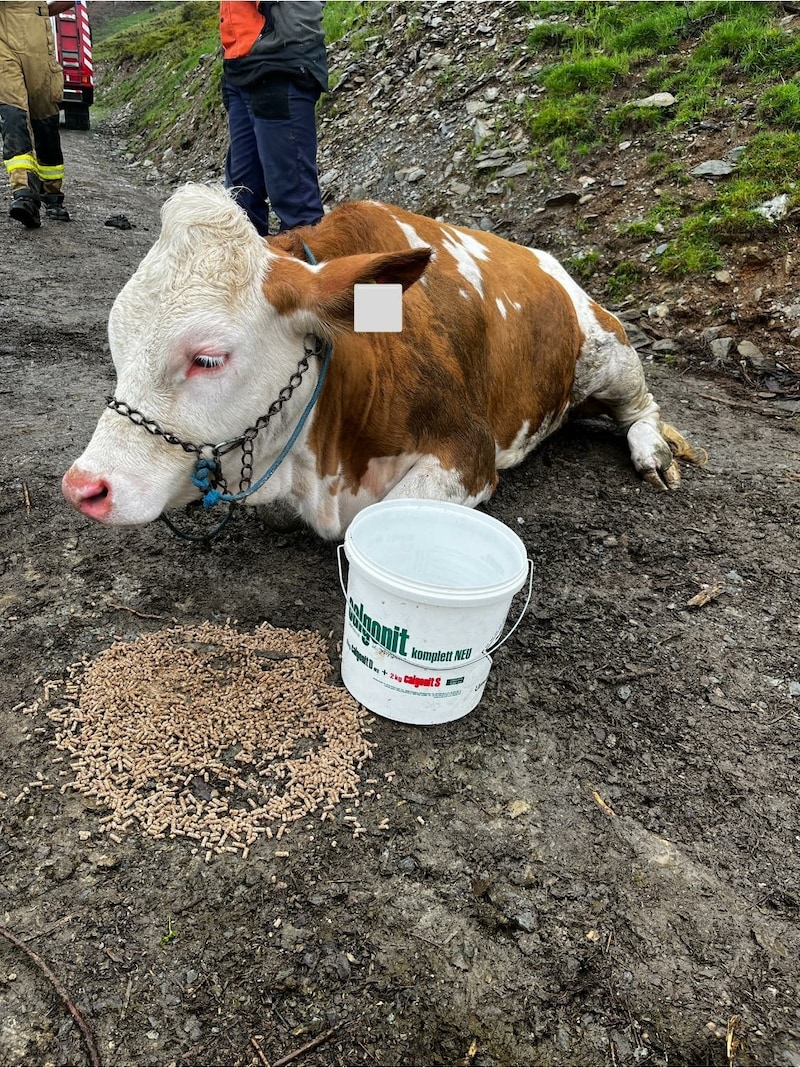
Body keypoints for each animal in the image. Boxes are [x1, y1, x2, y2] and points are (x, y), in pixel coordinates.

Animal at [62, 181, 696, 542]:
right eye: (117, 344)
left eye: (209, 359)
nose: (84, 487)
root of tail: (547, 258)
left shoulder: (469, 450)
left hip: (611, 353)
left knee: (641, 406)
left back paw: (653, 451)